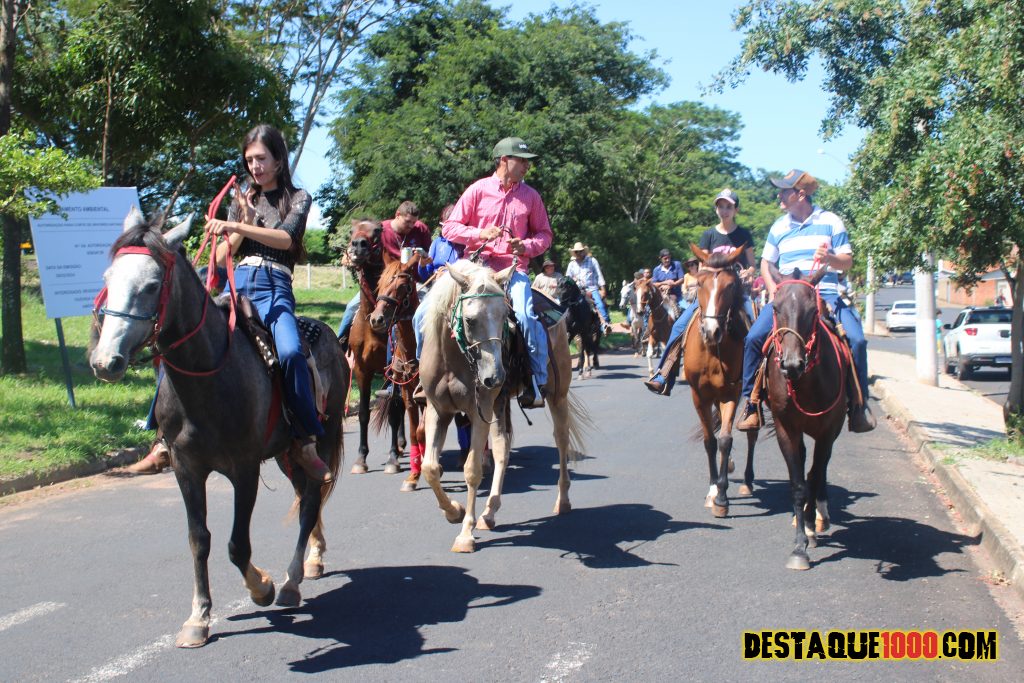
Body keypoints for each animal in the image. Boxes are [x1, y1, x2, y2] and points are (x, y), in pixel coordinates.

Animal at [89, 209, 346, 647]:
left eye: (152, 285)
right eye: (108, 278)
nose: (105, 361)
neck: (210, 374)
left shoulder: (244, 469)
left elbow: (237, 545)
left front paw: (262, 587)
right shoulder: (186, 467)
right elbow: (199, 540)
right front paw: (198, 617)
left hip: (323, 438)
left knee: (312, 499)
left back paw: (292, 581)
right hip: (286, 453)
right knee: (304, 498)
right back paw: (312, 558)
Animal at [367, 255, 427, 492]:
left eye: (402, 286)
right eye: (380, 284)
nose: (376, 319)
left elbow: (421, 431)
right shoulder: (408, 394)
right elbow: (414, 433)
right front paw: (414, 475)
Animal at [418, 260, 588, 553]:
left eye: (504, 317)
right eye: (470, 319)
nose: (495, 376)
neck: (453, 359)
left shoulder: (479, 410)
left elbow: (472, 470)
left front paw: (465, 534)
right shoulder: (437, 411)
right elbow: (431, 468)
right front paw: (453, 512)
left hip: (556, 396)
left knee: (561, 439)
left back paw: (563, 501)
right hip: (498, 405)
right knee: (502, 449)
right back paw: (489, 512)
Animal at [682, 246, 757, 518]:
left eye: (730, 285)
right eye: (700, 283)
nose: (711, 331)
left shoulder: (731, 394)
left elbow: (725, 440)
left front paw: (722, 498)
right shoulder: (699, 396)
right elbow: (710, 441)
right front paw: (713, 489)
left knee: (752, 432)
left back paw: (747, 480)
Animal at [760, 264, 849, 570]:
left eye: (812, 310)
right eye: (775, 307)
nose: (791, 364)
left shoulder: (827, 431)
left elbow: (813, 475)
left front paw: (810, 526)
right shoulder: (786, 428)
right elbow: (798, 484)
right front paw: (799, 547)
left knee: (820, 470)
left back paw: (818, 516)